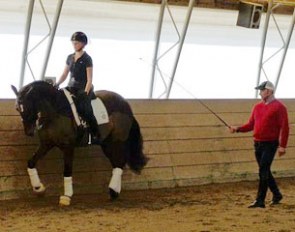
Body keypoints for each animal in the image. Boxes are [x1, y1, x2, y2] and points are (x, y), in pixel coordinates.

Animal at [11, 80, 148, 206]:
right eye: (17, 108)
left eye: (29, 105)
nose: (29, 132)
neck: (55, 111)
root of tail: (125, 104)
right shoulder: (46, 144)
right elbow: (31, 162)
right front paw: (38, 188)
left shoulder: (68, 147)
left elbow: (67, 170)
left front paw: (66, 196)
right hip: (106, 144)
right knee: (117, 163)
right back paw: (114, 192)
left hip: (117, 141)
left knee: (119, 162)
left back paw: (113, 191)